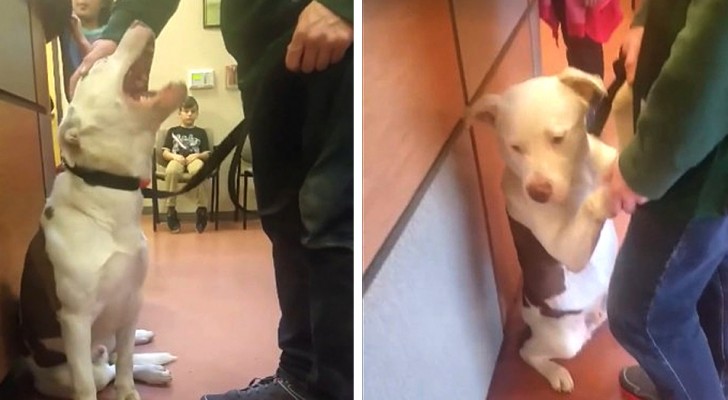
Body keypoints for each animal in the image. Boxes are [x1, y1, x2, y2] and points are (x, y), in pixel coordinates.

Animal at [19, 21, 188, 400]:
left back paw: (147, 350)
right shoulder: (76, 322)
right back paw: (153, 367)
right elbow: (90, 382)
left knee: (116, 356)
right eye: (99, 66)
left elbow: (125, 361)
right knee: (102, 370)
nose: (137, 23)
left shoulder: (132, 298)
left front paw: (130, 389)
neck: (108, 192)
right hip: (74, 363)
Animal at [472, 68, 620, 390]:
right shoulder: (569, 249)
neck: (579, 175)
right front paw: (613, 192)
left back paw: (599, 315)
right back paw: (556, 373)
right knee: (528, 353)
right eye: (515, 147)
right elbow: (593, 203)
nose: (538, 192)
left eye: (558, 138)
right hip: (562, 340)